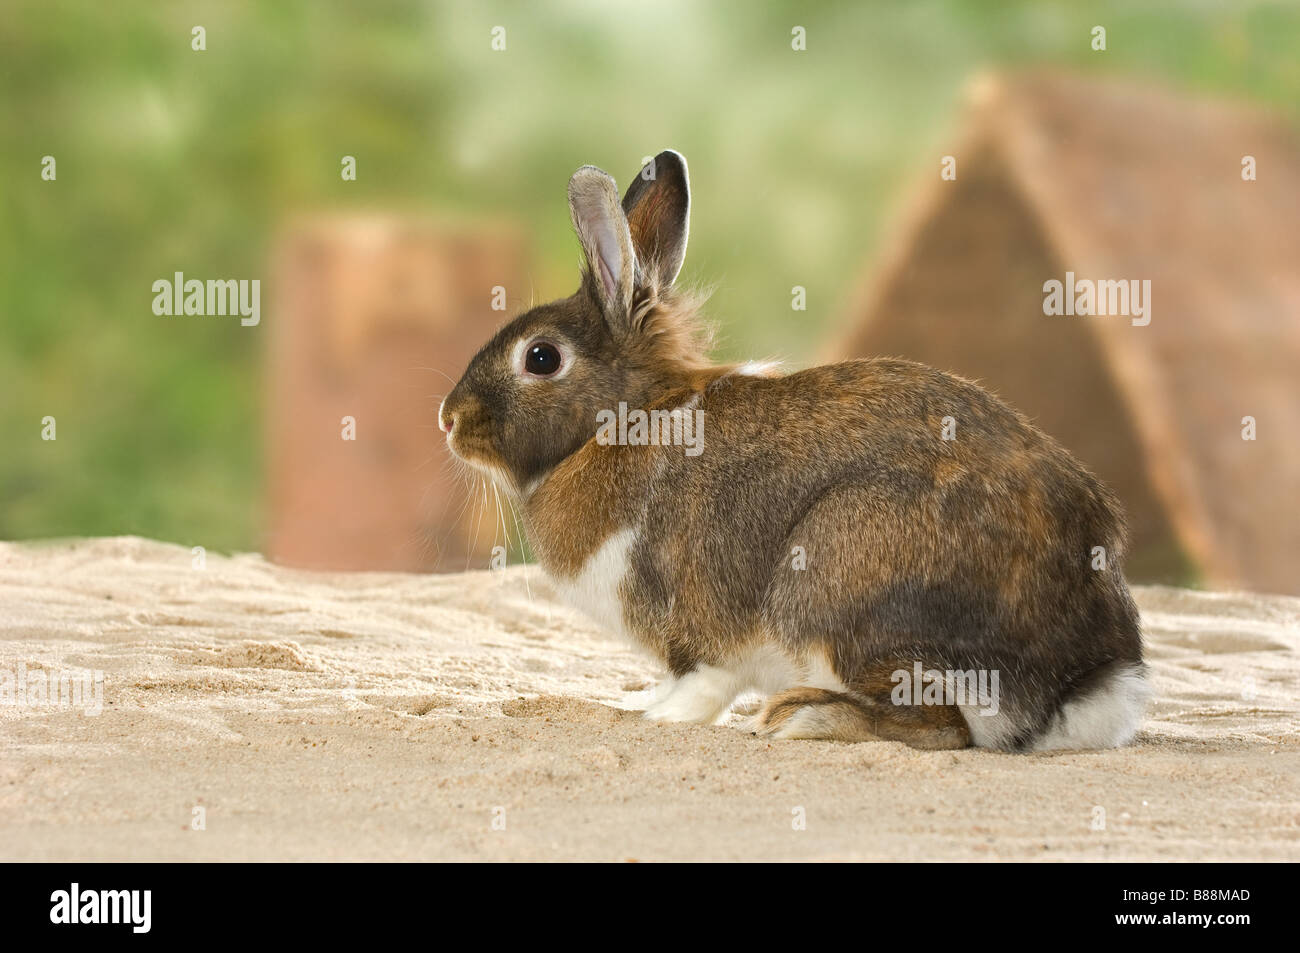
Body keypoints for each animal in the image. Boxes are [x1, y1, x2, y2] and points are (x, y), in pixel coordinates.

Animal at [439, 150, 1149, 751]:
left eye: (541, 357)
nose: (448, 419)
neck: (625, 421)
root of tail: (1081, 681)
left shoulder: (696, 624)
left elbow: (701, 680)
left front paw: (657, 717)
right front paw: (640, 701)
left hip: (837, 579)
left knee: (942, 725)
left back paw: (804, 716)